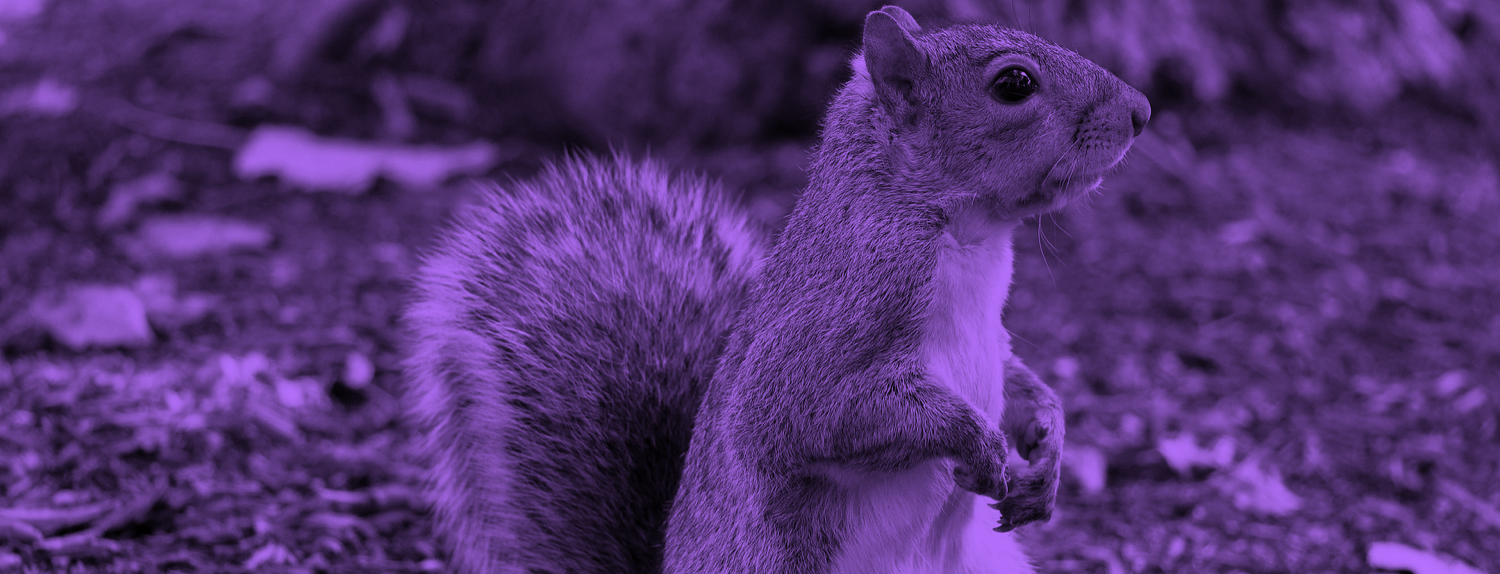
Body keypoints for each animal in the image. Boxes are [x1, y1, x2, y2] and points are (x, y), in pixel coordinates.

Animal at [403, 5, 1148, 574]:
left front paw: (1047, 447)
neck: (968, 236)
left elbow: (1020, 378)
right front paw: (981, 443)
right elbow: (812, 413)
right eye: (1014, 84)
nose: (1141, 110)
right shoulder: (835, 322)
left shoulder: (992, 332)